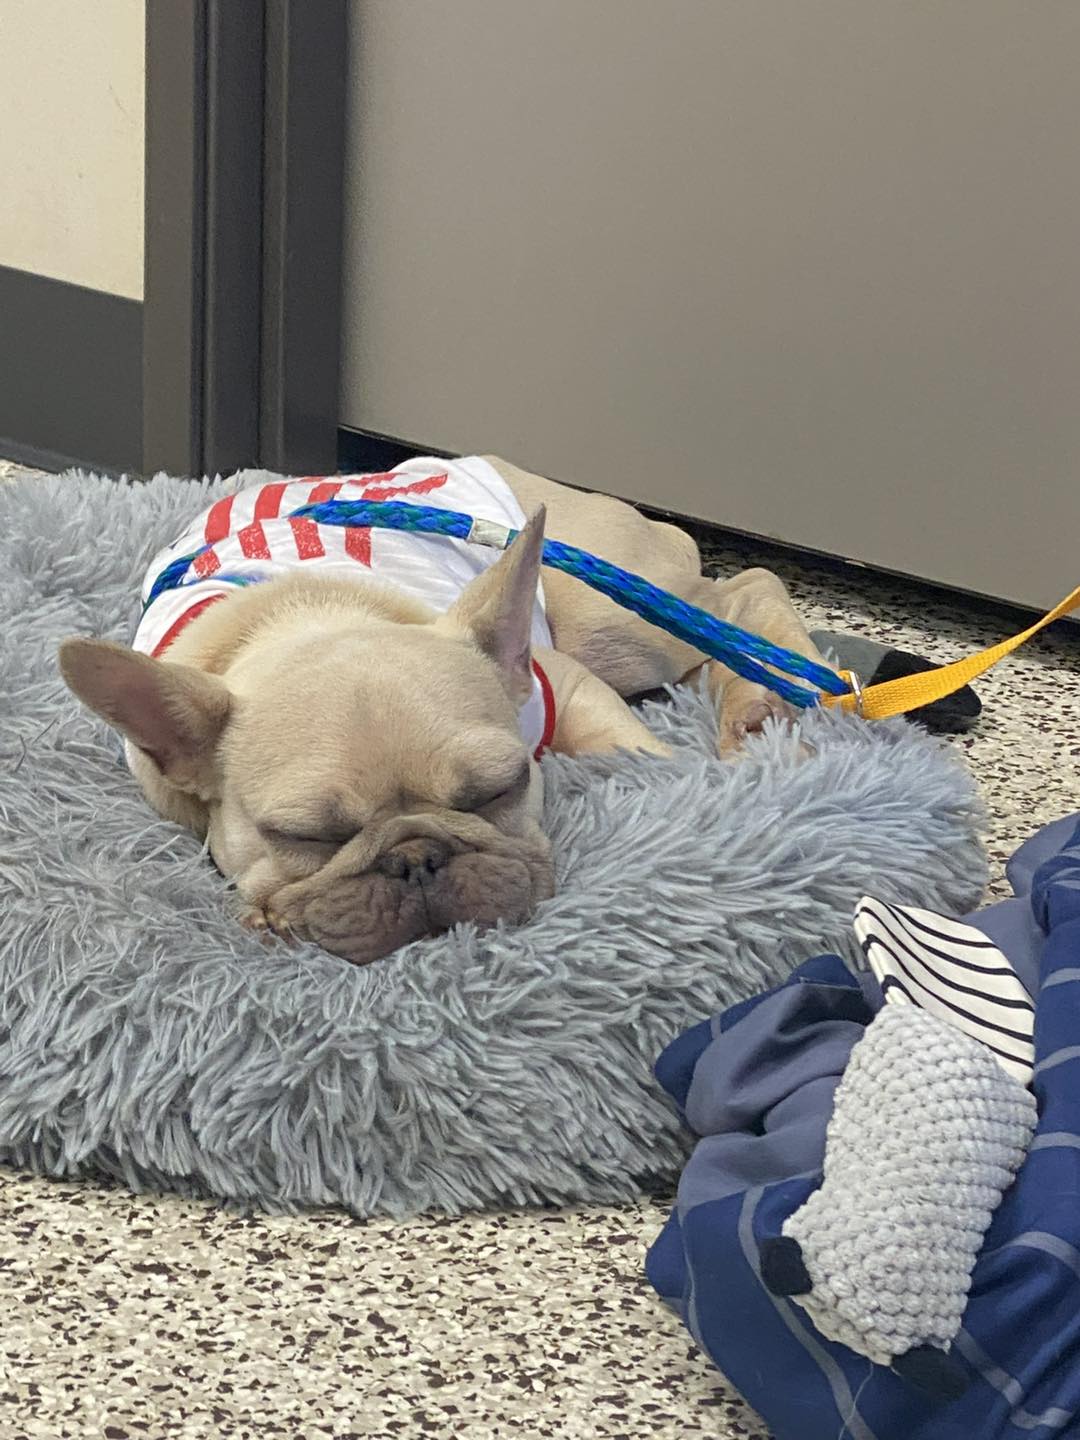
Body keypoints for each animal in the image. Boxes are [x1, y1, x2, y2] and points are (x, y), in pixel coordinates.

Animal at [59, 455, 829, 961]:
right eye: (304, 837)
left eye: (501, 788)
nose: (417, 857)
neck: (312, 612)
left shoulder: (561, 684)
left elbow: (638, 751)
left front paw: (689, 787)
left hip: (615, 622)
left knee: (744, 591)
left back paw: (779, 698)